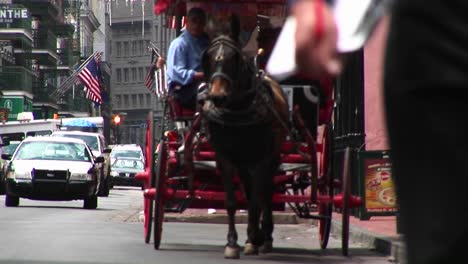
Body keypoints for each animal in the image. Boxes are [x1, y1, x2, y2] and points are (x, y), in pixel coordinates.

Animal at [200, 13, 290, 258]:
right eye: (208, 57)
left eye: (234, 58)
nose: (218, 96)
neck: (237, 110)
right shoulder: (224, 158)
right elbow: (232, 201)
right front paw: (232, 243)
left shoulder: (261, 158)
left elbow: (256, 201)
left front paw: (252, 239)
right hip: (243, 161)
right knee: (252, 191)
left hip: (272, 157)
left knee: (265, 191)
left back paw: (264, 237)